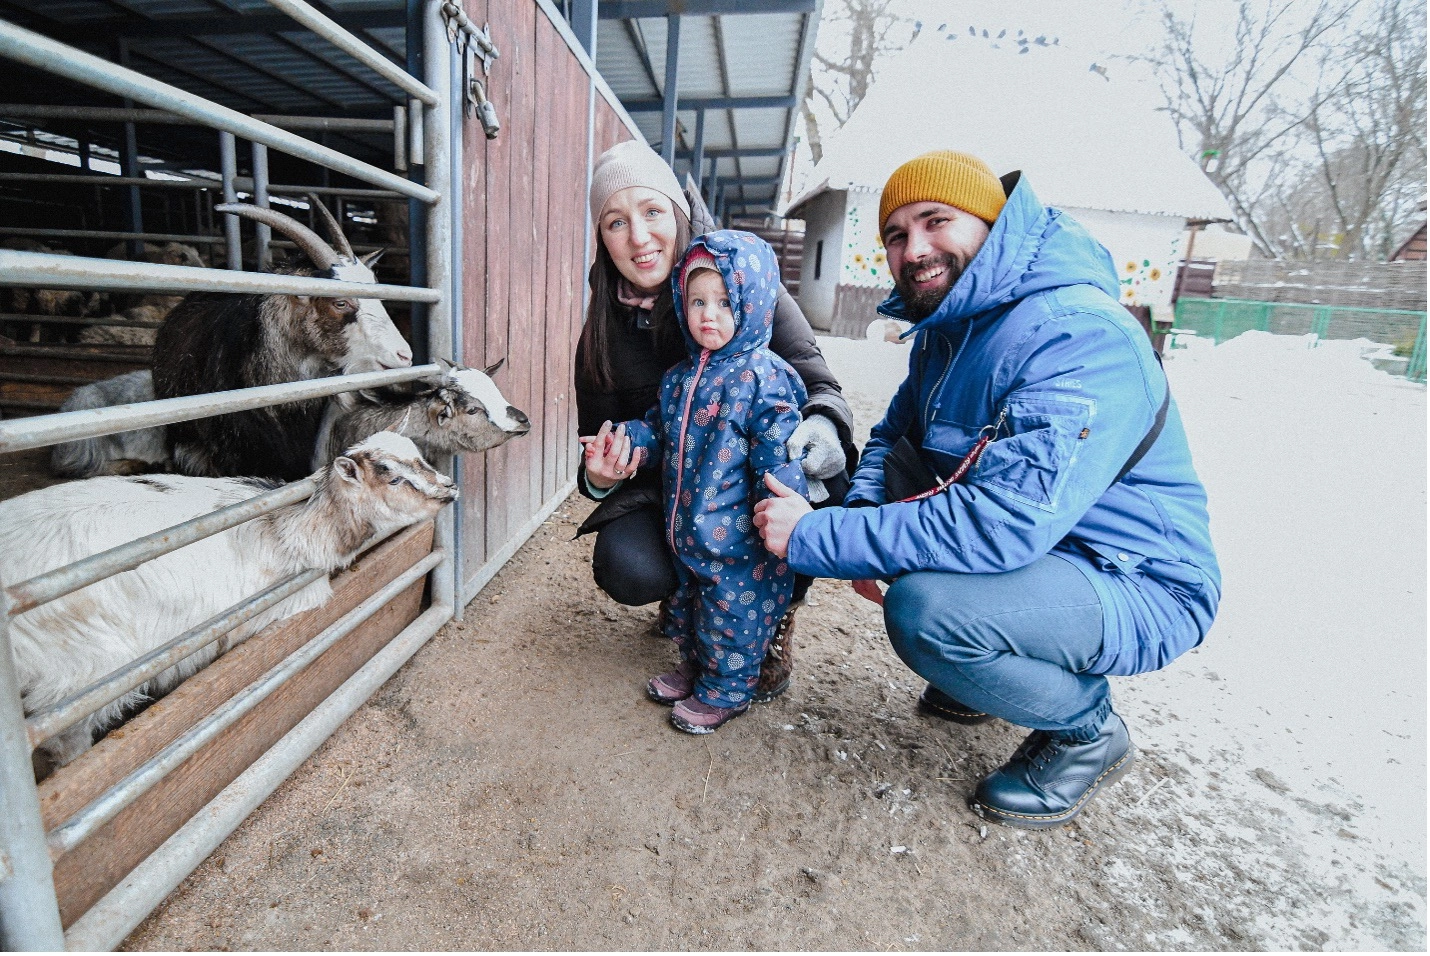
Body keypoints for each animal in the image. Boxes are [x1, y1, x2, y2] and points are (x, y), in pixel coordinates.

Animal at [0, 428, 454, 765]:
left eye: (422, 456)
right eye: (391, 475)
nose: (450, 489)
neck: (291, 529)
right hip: (78, 675)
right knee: (66, 742)